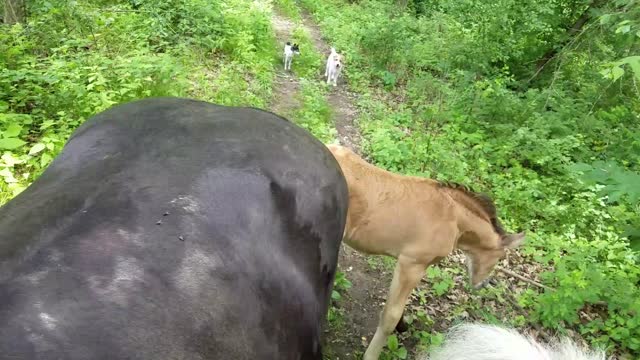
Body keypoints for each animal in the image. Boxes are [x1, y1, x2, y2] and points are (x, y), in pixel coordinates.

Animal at [324, 144, 524, 360]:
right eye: (500, 257)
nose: (481, 284)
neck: (453, 219)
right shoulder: (412, 264)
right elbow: (390, 316)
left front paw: (403, 326)